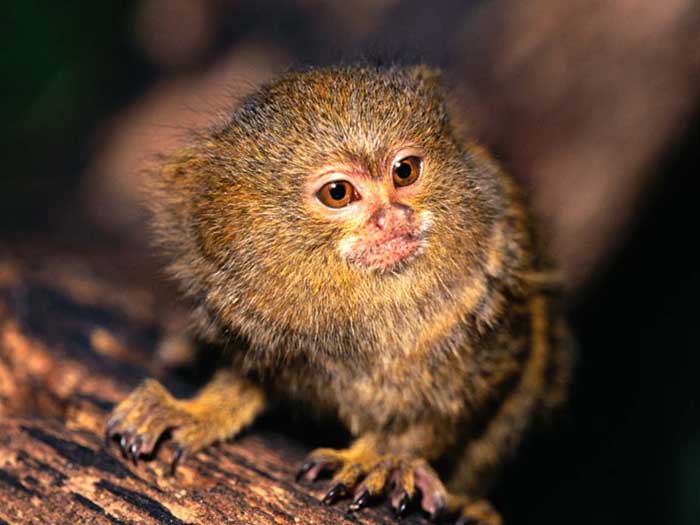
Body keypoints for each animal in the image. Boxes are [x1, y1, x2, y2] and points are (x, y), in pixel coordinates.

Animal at [106, 63, 572, 520]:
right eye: (338, 192)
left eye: (404, 171)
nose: (393, 216)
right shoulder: (246, 314)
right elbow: (245, 379)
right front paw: (197, 411)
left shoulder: (489, 302)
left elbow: (451, 407)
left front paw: (380, 458)